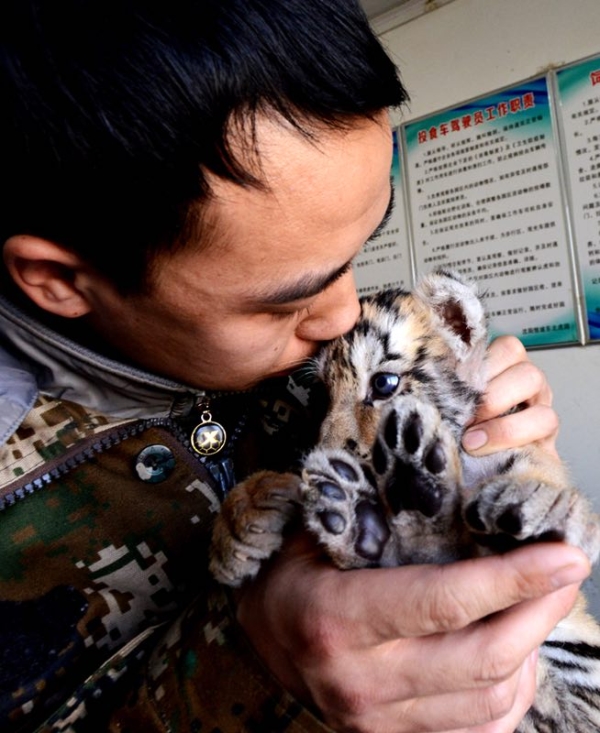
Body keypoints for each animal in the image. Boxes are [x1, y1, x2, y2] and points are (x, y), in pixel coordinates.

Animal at [209, 268, 600, 732]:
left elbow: (531, 465)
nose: (325, 451)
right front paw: (241, 527)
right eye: (321, 396)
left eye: (384, 383)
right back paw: (363, 517)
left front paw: (536, 510)